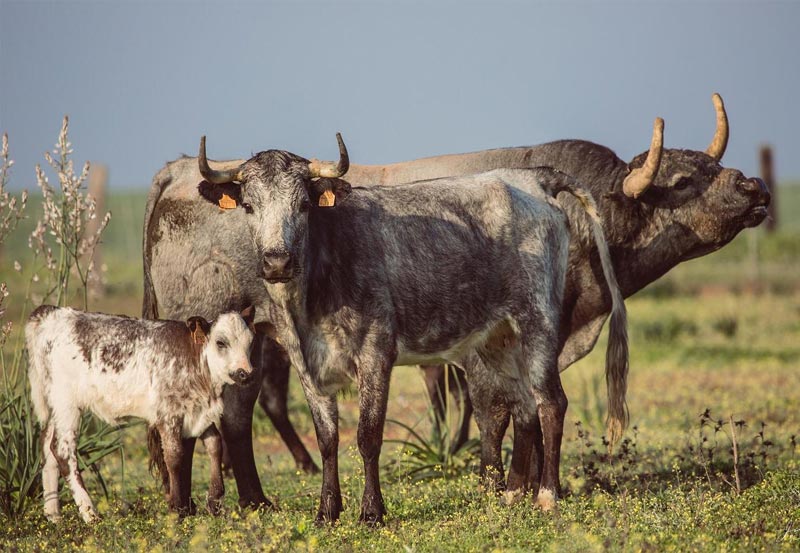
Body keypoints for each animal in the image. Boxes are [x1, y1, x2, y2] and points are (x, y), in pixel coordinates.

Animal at [25, 304, 256, 520]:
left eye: (250, 342)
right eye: (221, 342)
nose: (245, 374)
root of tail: (51, 313)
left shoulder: (199, 412)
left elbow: (215, 445)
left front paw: (215, 501)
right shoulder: (168, 415)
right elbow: (174, 456)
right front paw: (176, 509)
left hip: (54, 405)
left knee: (47, 446)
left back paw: (53, 514)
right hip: (67, 404)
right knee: (63, 452)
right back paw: (90, 514)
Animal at [192, 130, 624, 520]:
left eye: (303, 205)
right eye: (249, 206)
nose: (277, 261)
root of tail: (531, 178)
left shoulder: (375, 354)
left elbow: (367, 436)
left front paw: (371, 512)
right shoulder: (304, 365)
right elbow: (327, 439)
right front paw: (327, 511)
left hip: (538, 321)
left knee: (550, 403)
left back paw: (547, 495)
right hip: (498, 339)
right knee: (523, 408)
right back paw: (513, 494)